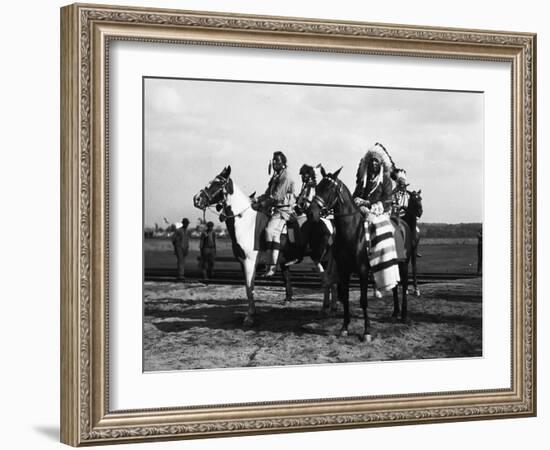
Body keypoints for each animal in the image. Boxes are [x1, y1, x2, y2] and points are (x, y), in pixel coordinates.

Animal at [310, 168, 414, 342]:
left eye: (329, 188)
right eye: (317, 188)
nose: (311, 213)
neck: (352, 232)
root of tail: (402, 223)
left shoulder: (363, 271)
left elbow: (363, 300)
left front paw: (367, 331)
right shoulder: (344, 271)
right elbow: (345, 298)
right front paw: (344, 328)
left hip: (404, 264)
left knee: (404, 285)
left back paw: (404, 316)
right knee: (394, 287)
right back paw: (395, 313)